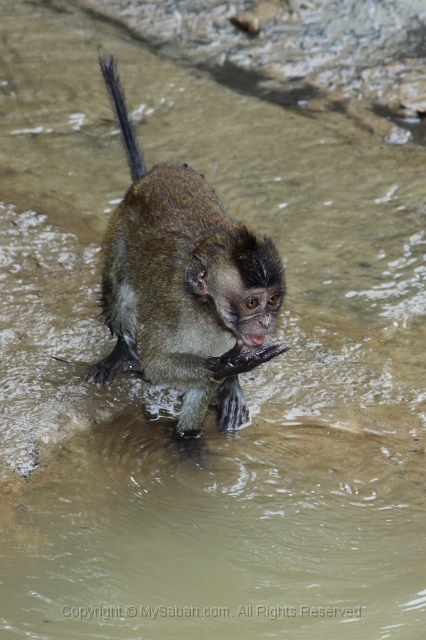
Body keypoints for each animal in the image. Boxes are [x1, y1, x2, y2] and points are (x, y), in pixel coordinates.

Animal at [85, 53, 292, 436]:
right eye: (252, 303)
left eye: (273, 301)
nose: (265, 323)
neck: (207, 312)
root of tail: (153, 175)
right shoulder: (177, 313)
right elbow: (155, 363)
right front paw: (225, 366)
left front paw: (192, 434)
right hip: (120, 225)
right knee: (119, 281)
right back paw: (121, 350)